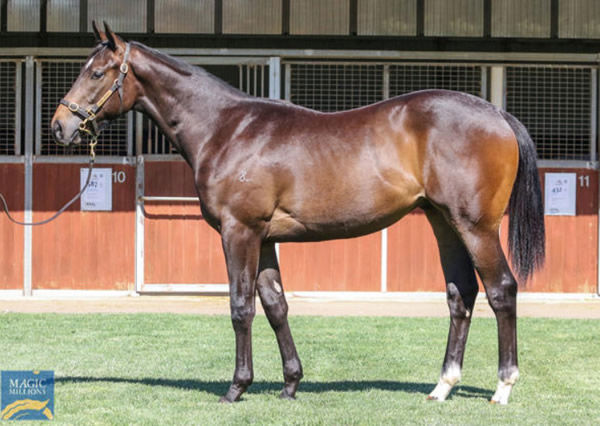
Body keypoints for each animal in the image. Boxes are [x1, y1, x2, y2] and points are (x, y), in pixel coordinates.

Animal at [54, 23, 548, 406]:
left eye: (96, 72)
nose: (61, 125)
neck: (226, 129)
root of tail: (496, 113)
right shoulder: (265, 239)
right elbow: (276, 306)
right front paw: (291, 384)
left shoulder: (239, 232)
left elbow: (240, 307)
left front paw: (236, 388)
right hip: (443, 222)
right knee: (460, 295)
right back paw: (442, 387)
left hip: (475, 227)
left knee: (501, 291)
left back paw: (503, 387)